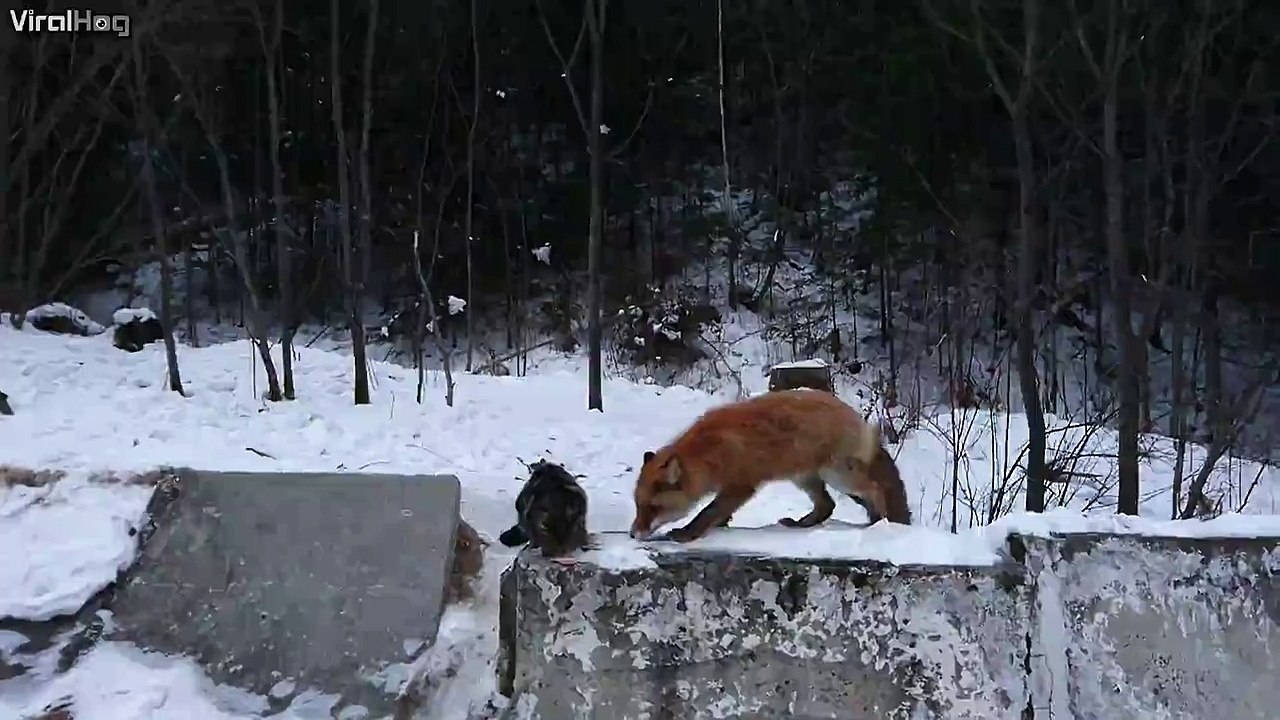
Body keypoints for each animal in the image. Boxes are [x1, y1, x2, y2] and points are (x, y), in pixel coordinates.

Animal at [629, 388, 911, 543]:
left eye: (653, 508)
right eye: (638, 506)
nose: (633, 534)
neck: (710, 452)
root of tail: (857, 417)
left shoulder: (741, 485)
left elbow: (707, 512)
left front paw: (688, 533)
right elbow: (717, 513)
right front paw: (719, 525)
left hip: (839, 476)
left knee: (875, 489)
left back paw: (880, 523)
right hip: (806, 478)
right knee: (827, 506)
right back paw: (801, 524)